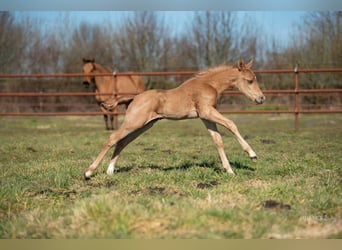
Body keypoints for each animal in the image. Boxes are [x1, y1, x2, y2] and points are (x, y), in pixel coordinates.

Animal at [84, 59, 266, 179]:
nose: (261, 98)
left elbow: (217, 140)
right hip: (134, 123)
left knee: (122, 142)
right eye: (250, 81)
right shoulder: (207, 111)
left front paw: (229, 170)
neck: (209, 84)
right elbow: (231, 124)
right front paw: (252, 154)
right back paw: (88, 172)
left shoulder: (206, 116)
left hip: (142, 126)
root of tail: (134, 98)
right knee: (112, 138)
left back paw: (110, 171)